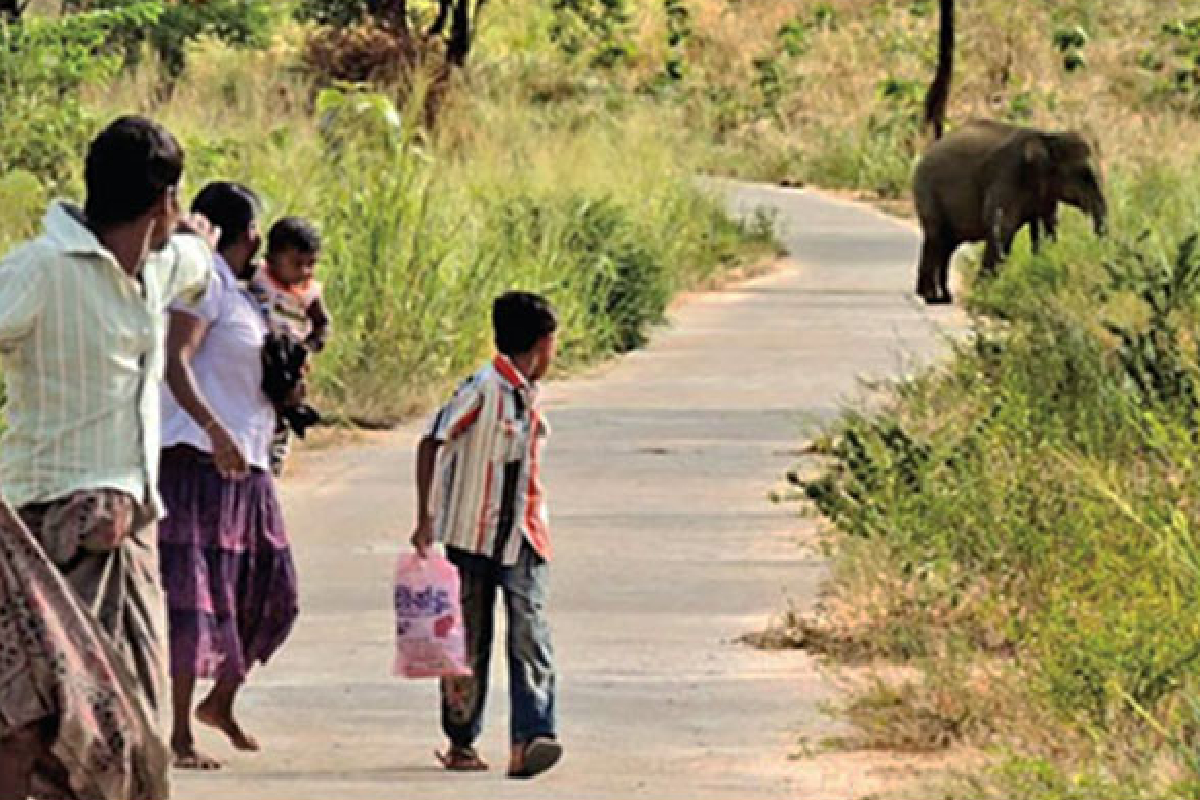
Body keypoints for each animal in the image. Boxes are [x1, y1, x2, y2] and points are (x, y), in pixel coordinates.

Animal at [913, 120, 1107, 304]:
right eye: (1082, 174)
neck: (1046, 137)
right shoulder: (1007, 175)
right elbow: (1002, 228)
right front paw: (983, 296)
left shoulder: (1045, 193)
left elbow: (1047, 228)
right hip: (927, 193)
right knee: (936, 238)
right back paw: (931, 298)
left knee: (947, 245)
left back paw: (944, 297)